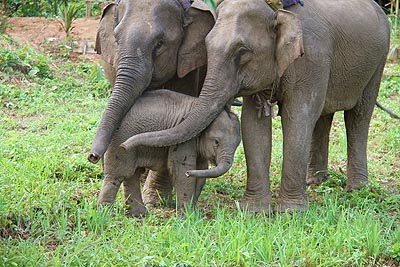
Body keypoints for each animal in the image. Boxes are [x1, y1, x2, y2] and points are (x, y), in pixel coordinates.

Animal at [97, 90, 241, 218]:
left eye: (238, 144)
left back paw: (139, 215)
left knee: (132, 174)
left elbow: (201, 170)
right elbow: (181, 170)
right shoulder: (185, 140)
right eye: (216, 142)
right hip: (119, 138)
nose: (124, 146)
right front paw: (186, 218)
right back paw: (107, 214)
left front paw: (193, 214)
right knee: (117, 174)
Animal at [123, 0, 390, 214]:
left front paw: (290, 212)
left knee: (358, 116)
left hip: (378, 62)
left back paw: (356, 189)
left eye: (242, 52)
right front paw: (254, 211)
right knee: (325, 116)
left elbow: (298, 118)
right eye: (206, 48)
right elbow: (254, 125)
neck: (275, 10)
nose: (124, 145)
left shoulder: (313, 59)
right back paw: (315, 182)